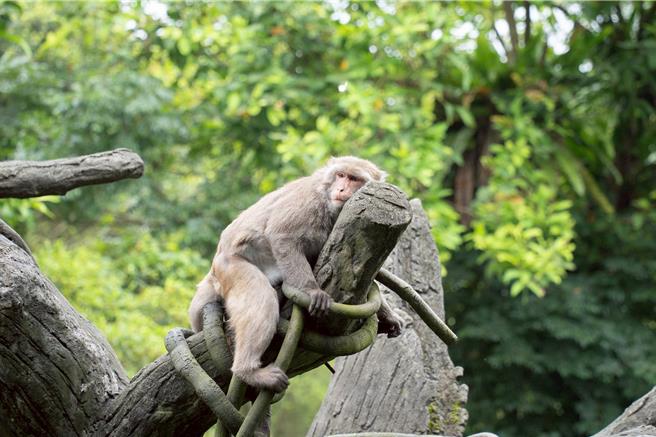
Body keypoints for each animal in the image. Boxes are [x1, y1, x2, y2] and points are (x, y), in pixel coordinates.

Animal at [188, 156, 403, 393]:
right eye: (341, 175)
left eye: (354, 179)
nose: (341, 188)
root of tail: (214, 268)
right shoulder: (308, 200)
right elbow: (283, 237)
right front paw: (311, 290)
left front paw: (388, 314)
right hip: (232, 267)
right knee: (262, 299)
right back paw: (248, 371)